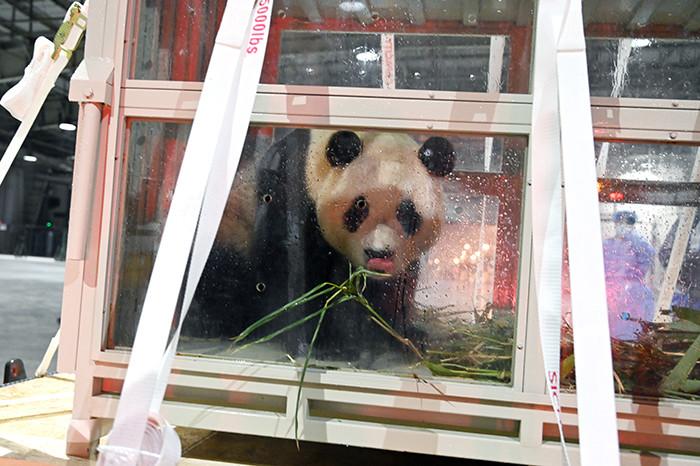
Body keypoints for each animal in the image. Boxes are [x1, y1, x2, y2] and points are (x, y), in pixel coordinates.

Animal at [186, 128, 456, 368]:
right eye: (360, 206)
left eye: (407, 213)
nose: (379, 255)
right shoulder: (290, 193)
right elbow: (291, 275)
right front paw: (326, 344)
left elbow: (391, 293)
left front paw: (401, 338)